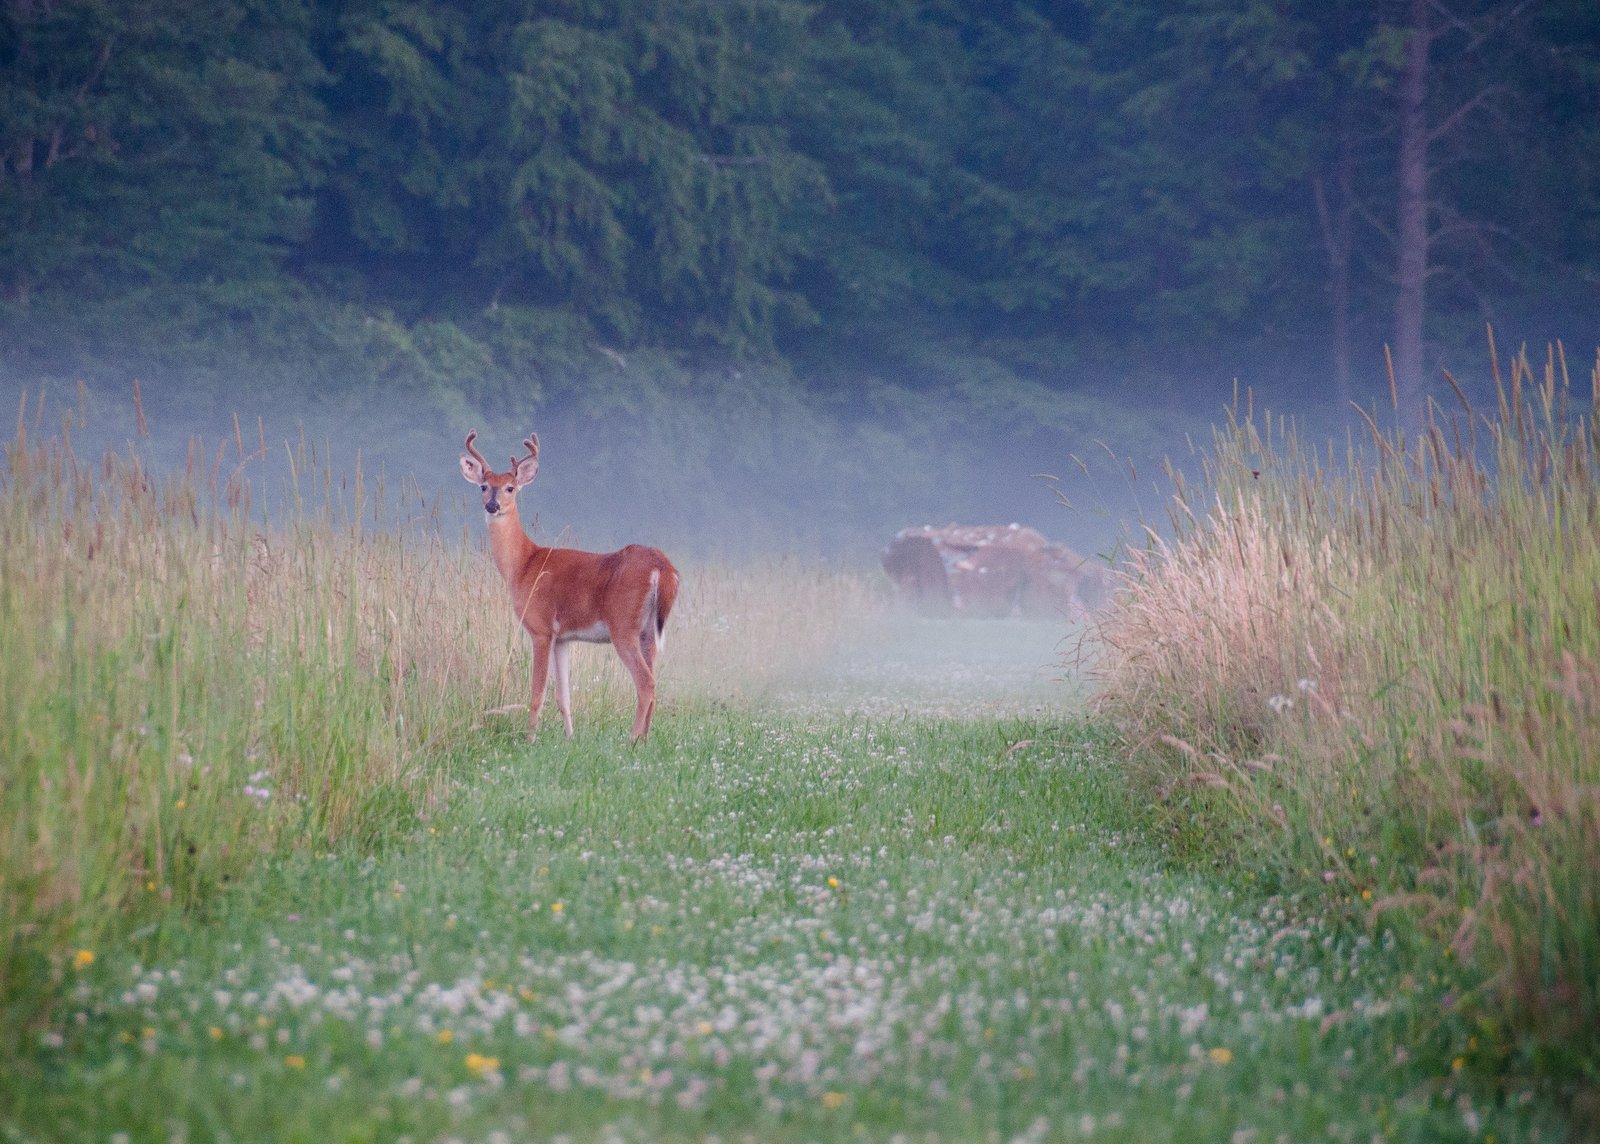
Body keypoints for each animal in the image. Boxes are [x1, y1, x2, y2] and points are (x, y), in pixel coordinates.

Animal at [459, 430, 679, 742]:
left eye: (511, 488)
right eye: (483, 486)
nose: (492, 505)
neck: (524, 565)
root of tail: (663, 566)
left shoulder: (540, 628)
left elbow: (537, 693)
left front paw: (529, 740)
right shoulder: (562, 637)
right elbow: (563, 696)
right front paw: (569, 738)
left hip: (623, 625)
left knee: (646, 683)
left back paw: (633, 741)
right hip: (648, 630)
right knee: (654, 681)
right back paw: (645, 740)